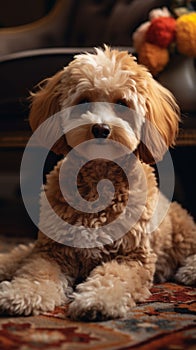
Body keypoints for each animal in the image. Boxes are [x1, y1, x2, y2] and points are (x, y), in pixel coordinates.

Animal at [0, 47, 195, 322]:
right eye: (83, 100)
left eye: (123, 103)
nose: (101, 129)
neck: (99, 181)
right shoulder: (51, 251)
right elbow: (36, 272)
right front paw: (22, 294)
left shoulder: (132, 258)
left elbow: (114, 277)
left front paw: (97, 300)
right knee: (20, 253)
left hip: (183, 234)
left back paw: (190, 270)